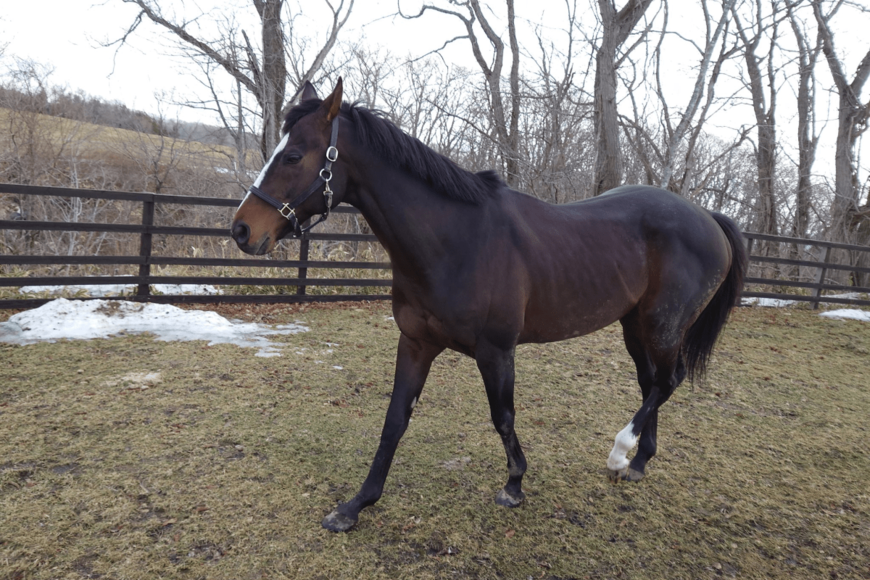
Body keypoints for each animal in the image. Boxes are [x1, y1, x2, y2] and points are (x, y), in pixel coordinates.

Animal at [232, 79, 748, 532]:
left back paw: (621, 451)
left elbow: (503, 417)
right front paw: (355, 505)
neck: (457, 240)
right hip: (634, 325)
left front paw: (514, 484)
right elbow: (394, 422)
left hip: (663, 325)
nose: (241, 230)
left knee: (667, 381)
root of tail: (708, 218)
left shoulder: (496, 351)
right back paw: (639, 460)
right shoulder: (416, 343)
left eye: (294, 155)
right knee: (652, 383)